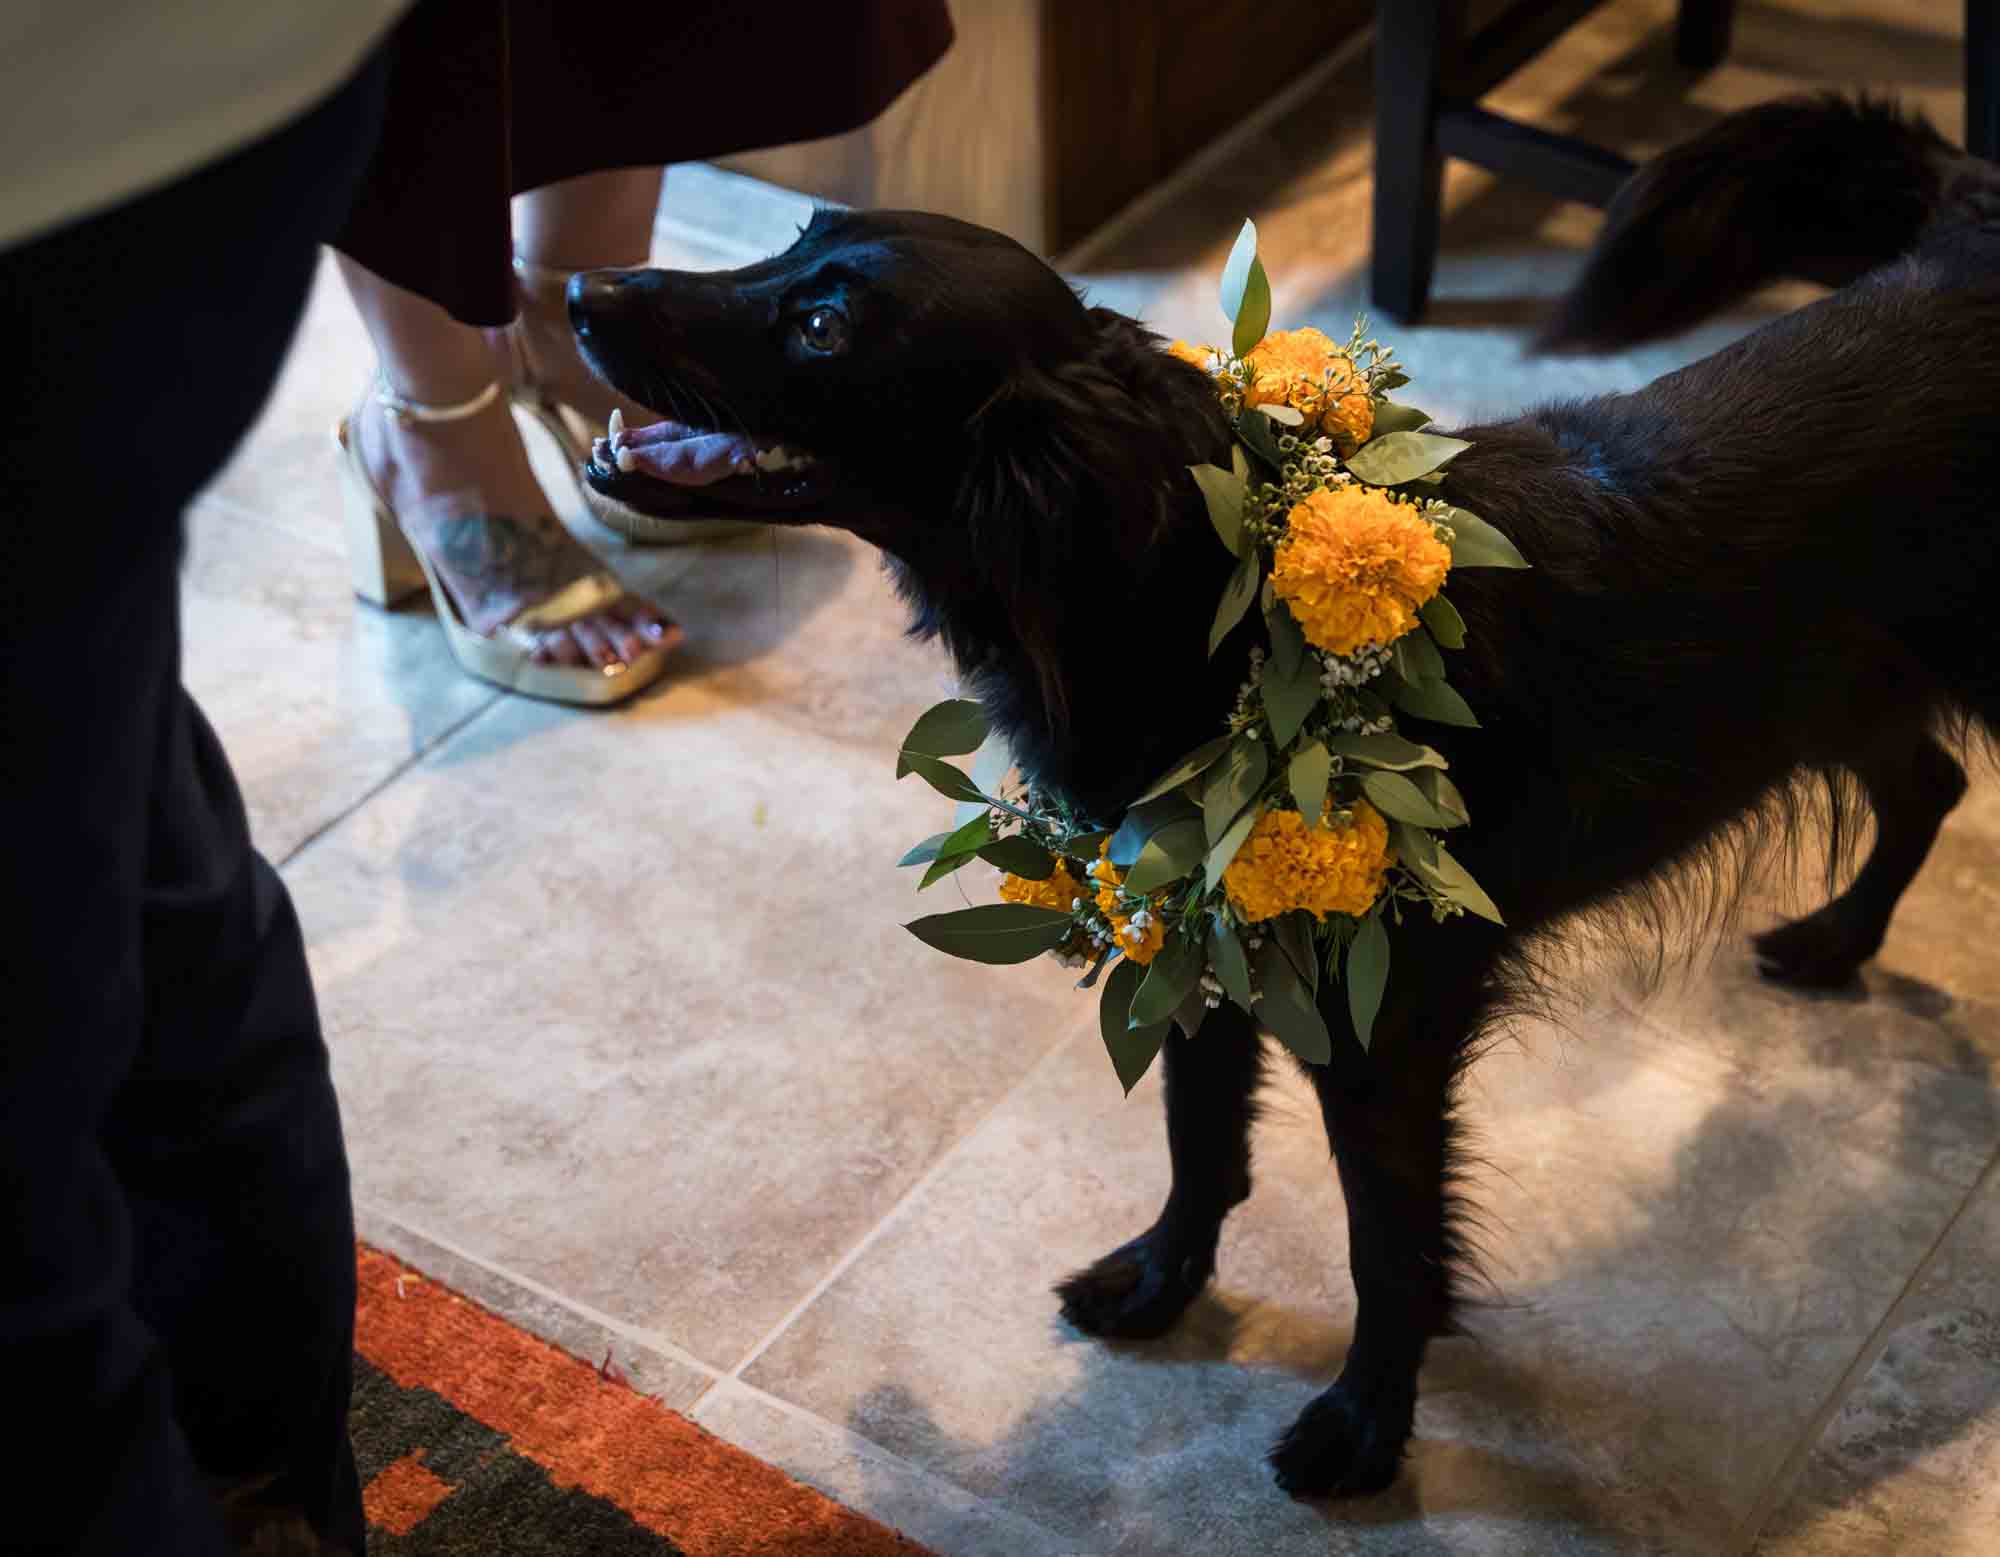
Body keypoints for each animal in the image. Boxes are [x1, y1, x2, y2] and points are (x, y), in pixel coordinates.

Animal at [564, 94, 2000, 1488]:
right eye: (792, 240)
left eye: (818, 327)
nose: (577, 286)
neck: (1199, 595)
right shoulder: (1193, 932)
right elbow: (1199, 1139)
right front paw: (1163, 1282)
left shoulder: (1388, 1032)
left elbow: (1389, 1246)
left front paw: (1365, 1428)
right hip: (1845, 690)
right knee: (1927, 783)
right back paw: (1836, 940)